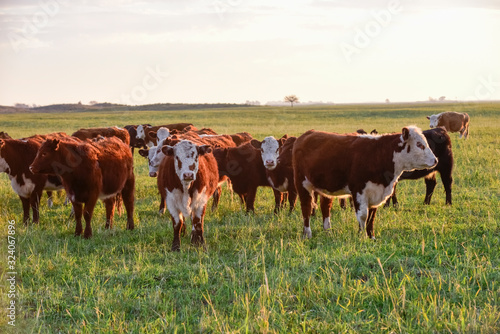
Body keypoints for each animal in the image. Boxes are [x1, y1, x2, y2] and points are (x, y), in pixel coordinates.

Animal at [292, 126, 438, 239]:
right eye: (419, 144)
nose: (435, 160)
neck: (378, 154)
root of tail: (307, 134)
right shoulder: (359, 190)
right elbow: (363, 215)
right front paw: (361, 236)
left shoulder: (376, 192)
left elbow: (371, 217)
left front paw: (371, 236)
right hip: (302, 183)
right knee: (306, 208)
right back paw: (307, 234)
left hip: (325, 186)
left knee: (325, 207)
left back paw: (328, 231)